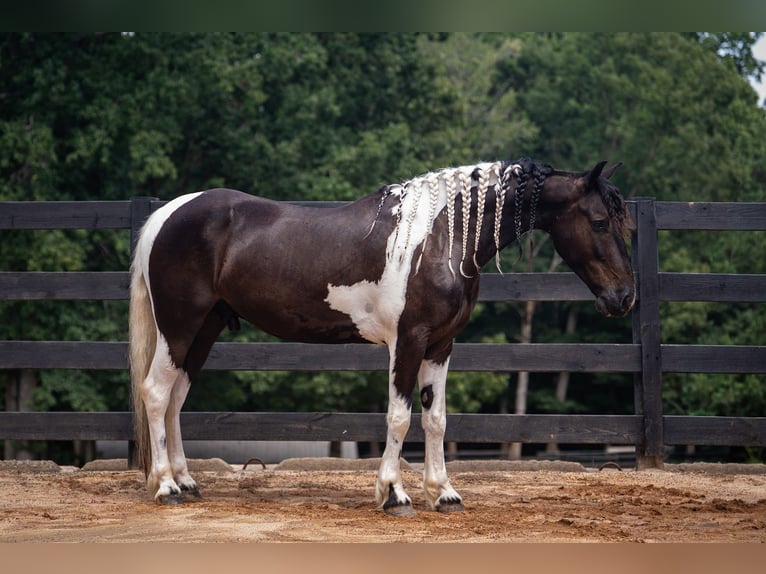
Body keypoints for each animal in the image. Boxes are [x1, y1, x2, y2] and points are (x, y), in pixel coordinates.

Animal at [129, 157, 635, 515]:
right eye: (598, 221)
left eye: (622, 222)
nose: (624, 297)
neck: (441, 238)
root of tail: (167, 215)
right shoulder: (407, 342)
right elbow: (399, 417)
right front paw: (394, 495)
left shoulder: (441, 346)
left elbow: (436, 420)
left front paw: (444, 494)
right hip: (180, 326)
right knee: (156, 393)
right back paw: (167, 487)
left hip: (204, 329)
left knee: (176, 398)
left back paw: (186, 482)